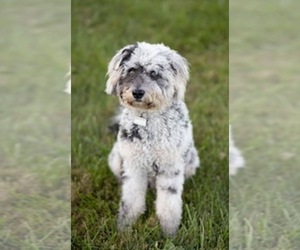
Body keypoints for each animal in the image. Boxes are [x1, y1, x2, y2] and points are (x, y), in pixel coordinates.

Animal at [105, 42, 199, 235]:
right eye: (131, 70)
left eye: (155, 73)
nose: (138, 93)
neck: (146, 118)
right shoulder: (134, 167)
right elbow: (130, 202)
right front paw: (124, 228)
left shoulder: (170, 169)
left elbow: (168, 207)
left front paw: (170, 233)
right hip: (116, 159)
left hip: (191, 161)